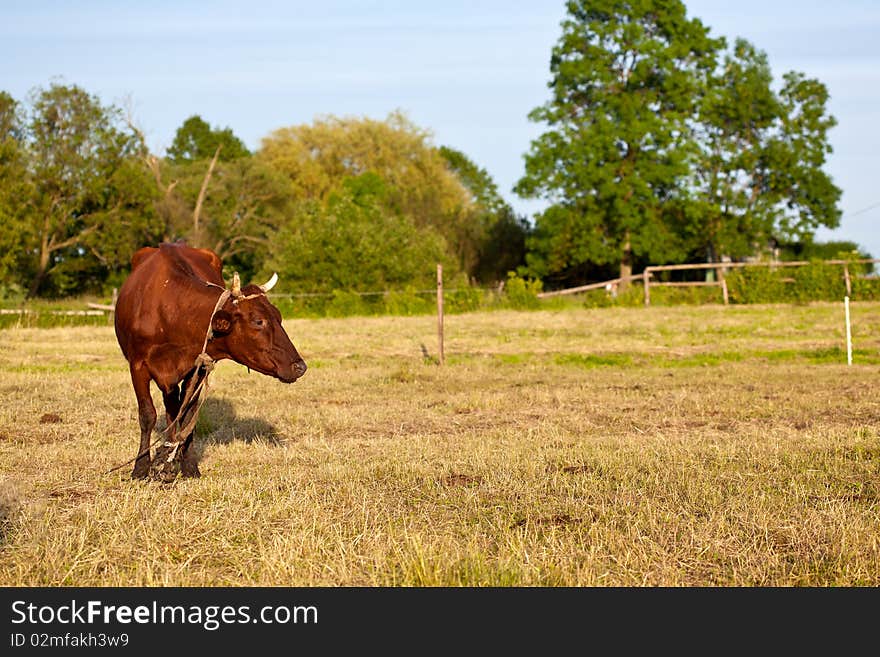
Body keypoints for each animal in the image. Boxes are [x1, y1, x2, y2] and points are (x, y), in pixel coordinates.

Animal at [113, 243, 308, 480]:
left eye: (279, 317)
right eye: (258, 321)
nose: (300, 366)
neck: (170, 311)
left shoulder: (198, 367)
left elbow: (188, 416)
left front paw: (188, 465)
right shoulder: (138, 365)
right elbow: (147, 415)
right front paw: (140, 468)